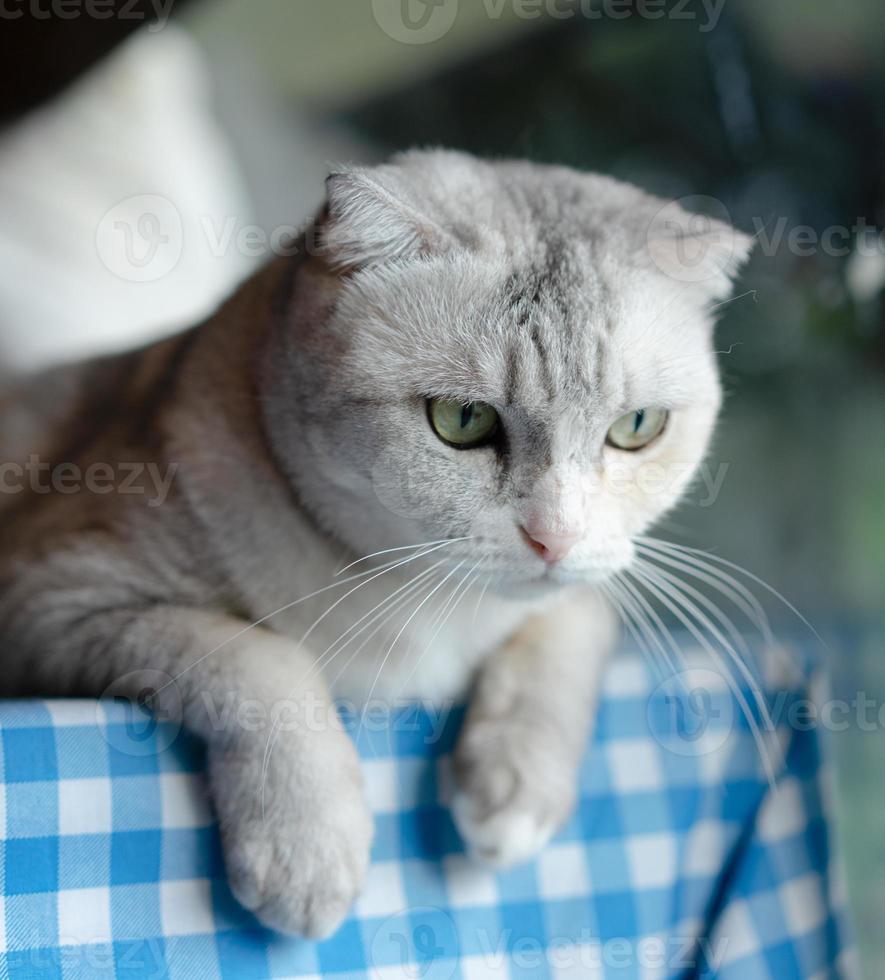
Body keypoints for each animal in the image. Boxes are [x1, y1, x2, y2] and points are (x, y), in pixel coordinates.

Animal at [0, 149, 748, 936]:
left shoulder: (585, 584)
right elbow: (258, 657)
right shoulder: (49, 596)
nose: (554, 537)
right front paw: (307, 846)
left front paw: (515, 788)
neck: (432, 608)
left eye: (637, 427)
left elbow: (572, 626)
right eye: (461, 419)